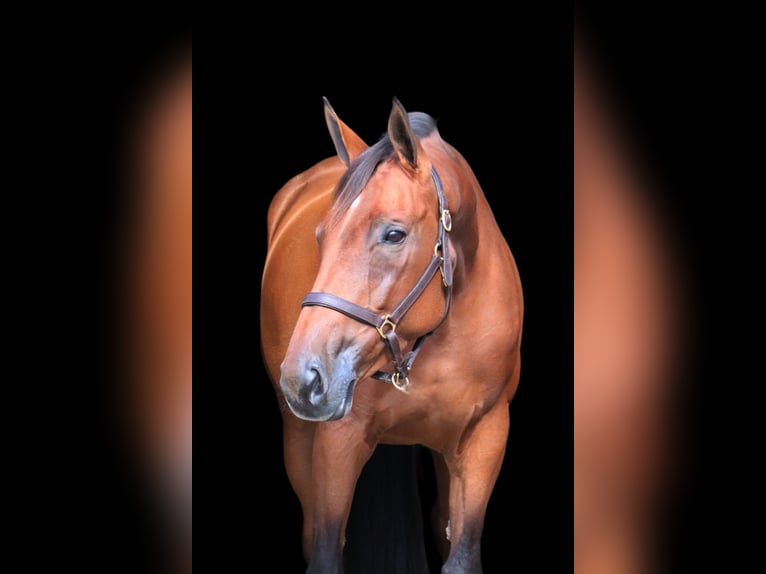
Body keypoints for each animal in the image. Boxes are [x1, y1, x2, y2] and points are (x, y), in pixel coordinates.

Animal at [260, 97, 523, 573]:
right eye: (320, 236)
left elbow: (461, 554)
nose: (302, 378)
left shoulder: (486, 435)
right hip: (298, 437)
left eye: (394, 234)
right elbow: (325, 550)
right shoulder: (338, 441)